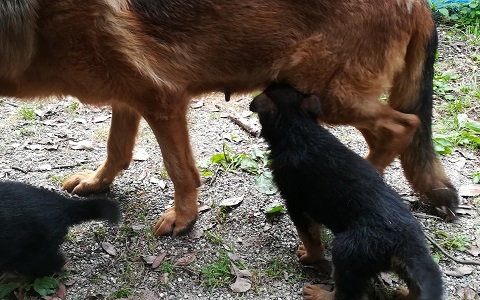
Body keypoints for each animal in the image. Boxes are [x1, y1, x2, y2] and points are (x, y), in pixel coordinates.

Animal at [0, 0, 458, 236]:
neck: (38, 21)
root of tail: (419, 3)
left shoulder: (162, 101)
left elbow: (180, 170)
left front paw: (183, 218)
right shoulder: (128, 99)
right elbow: (116, 150)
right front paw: (97, 183)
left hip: (326, 95)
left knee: (401, 126)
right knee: (394, 130)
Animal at [251, 82, 442, 300]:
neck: (300, 129)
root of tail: (406, 243)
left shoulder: (297, 205)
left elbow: (311, 240)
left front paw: (308, 257)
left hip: (345, 252)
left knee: (346, 293)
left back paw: (319, 294)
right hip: (403, 264)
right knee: (417, 285)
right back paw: (404, 294)